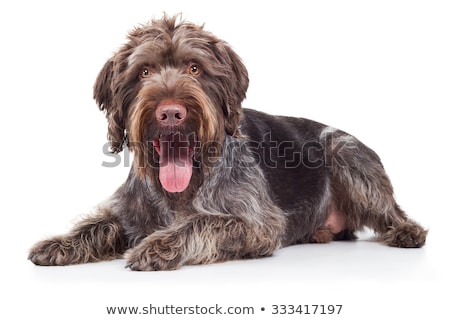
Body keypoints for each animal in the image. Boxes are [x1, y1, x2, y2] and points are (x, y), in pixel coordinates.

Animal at [29, 14, 428, 270]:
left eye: (194, 68)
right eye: (143, 72)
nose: (170, 113)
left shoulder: (257, 224)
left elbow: (204, 223)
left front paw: (160, 244)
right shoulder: (127, 214)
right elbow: (99, 224)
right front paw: (60, 242)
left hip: (343, 151)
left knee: (391, 212)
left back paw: (407, 230)